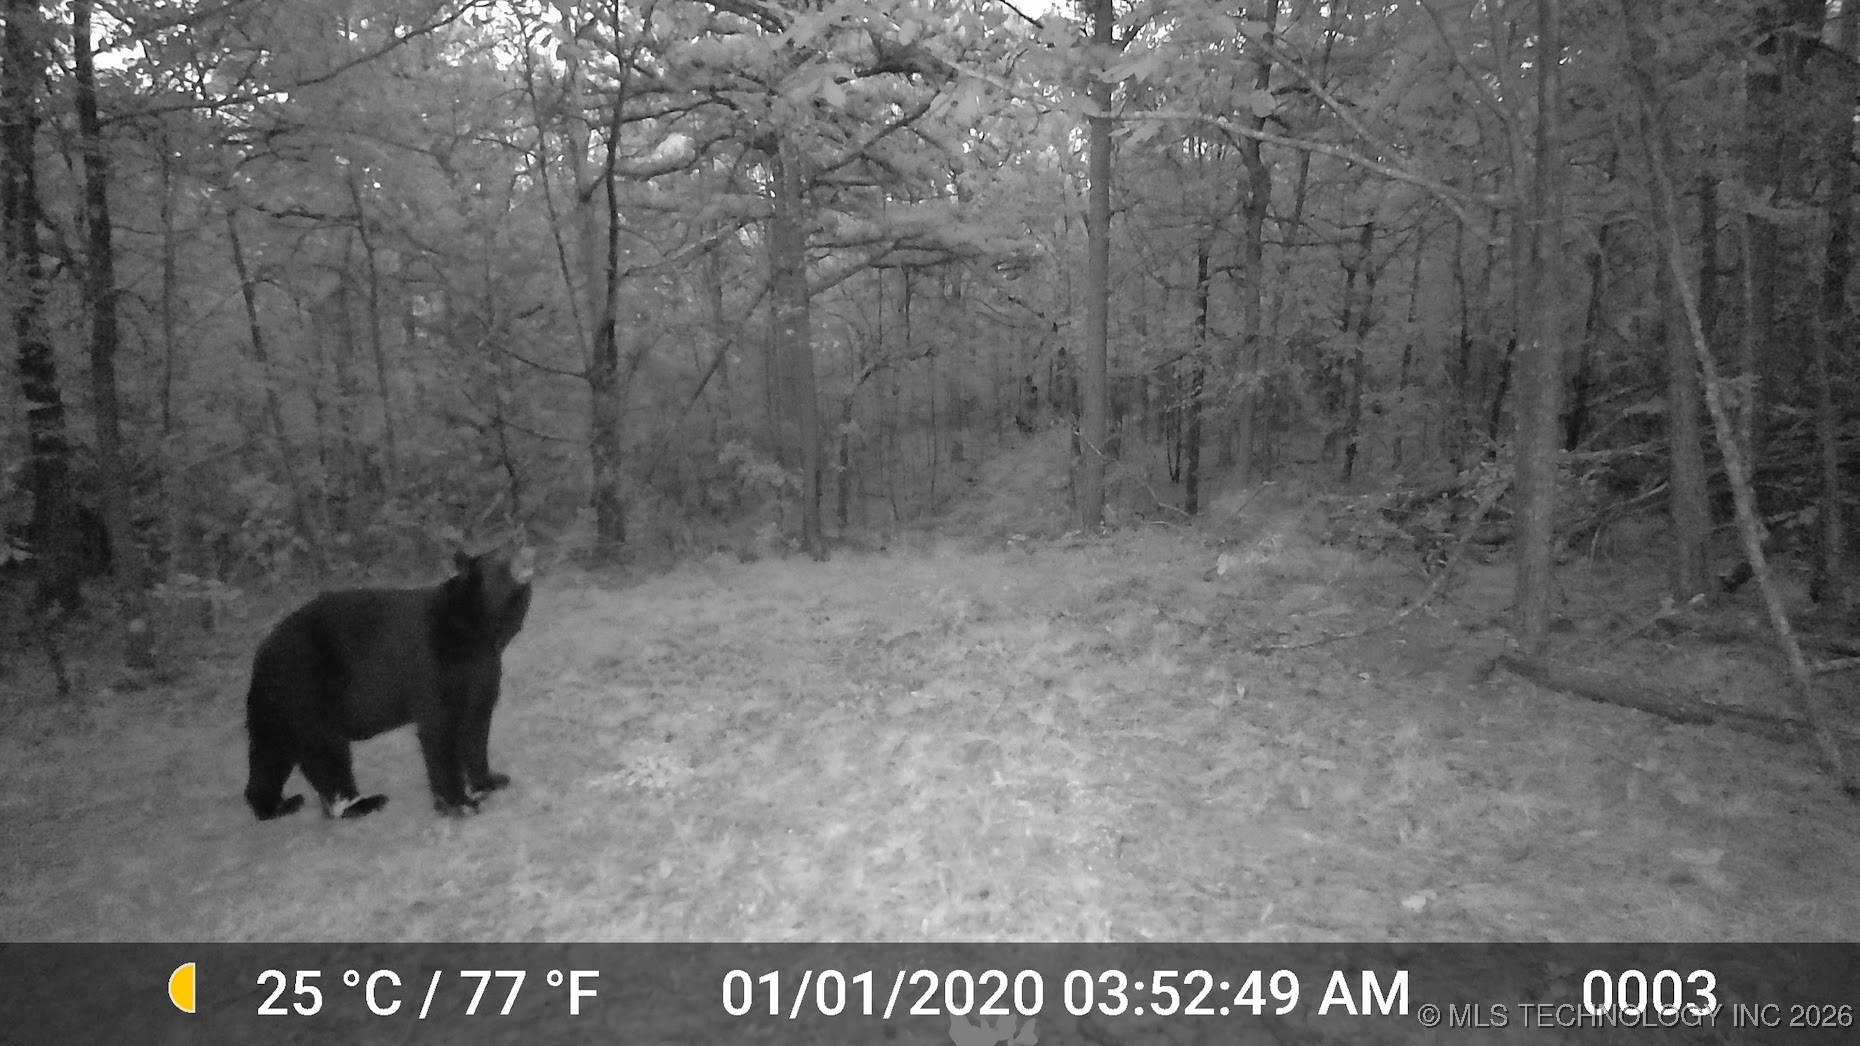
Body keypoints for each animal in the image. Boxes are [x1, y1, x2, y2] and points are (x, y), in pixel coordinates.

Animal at [243, 545, 535, 821]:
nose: (529, 552)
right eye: (502, 554)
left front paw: (489, 781)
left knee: (269, 756)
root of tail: (259, 661)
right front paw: (459, 802)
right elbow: (439, 730)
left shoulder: (481, 671)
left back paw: (277, 805)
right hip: (307, 693)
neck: (476, 630)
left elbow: (476, 723)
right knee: (326, 754)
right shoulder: (432, 667)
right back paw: (361, 802)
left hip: (279, 713)